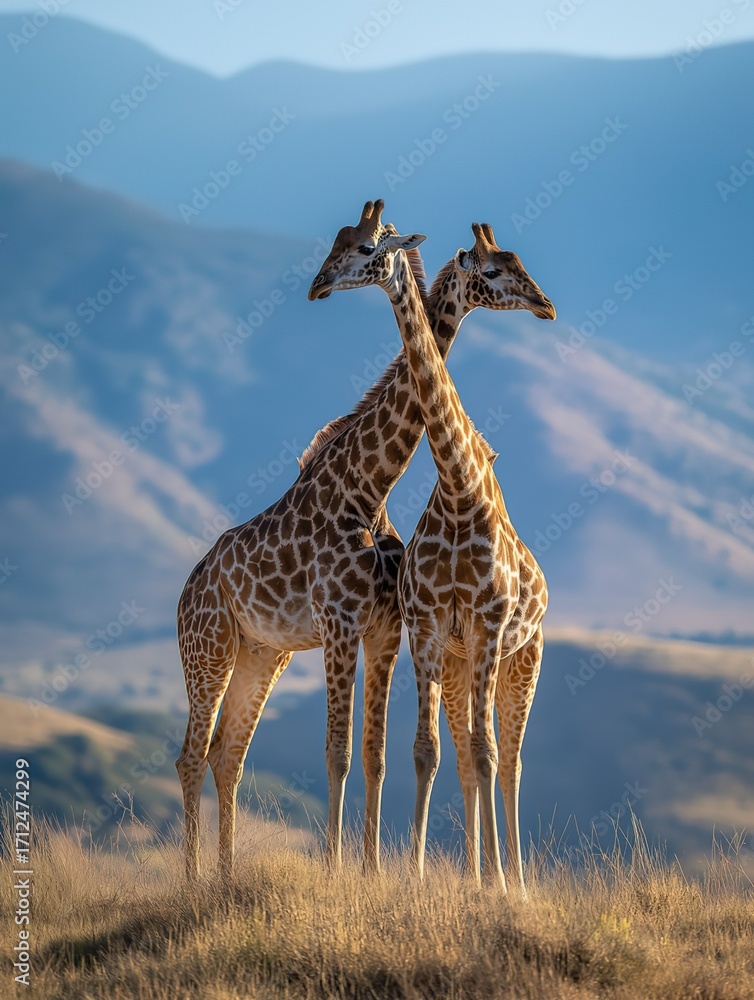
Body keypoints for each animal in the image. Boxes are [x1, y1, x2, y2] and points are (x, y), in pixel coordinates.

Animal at [310, 216, 555, 895]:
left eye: (517, 264)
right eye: (493, 270)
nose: (546, 305)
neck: (457, 485)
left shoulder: (491, 625)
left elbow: (490, 754)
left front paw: (498, 887)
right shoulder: (426, 628)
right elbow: (431, 752)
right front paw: (422, 875)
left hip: (524, 658)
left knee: (509, 760)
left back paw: (514, 881)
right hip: (458, 662)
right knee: (472, 755)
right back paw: (480, 873)